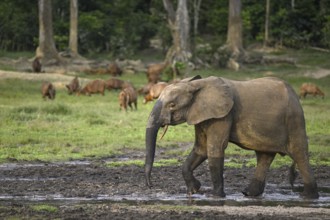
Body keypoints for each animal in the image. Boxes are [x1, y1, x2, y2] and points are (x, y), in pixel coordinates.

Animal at [145, 75, 320, 199]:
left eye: (172, 105)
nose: (150, 185)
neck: (197, 85)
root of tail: (295, 94)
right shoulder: (202, 114)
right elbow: (201, 149)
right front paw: (194, 190)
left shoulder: (223, 115)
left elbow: (214, 149)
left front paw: (215, 196)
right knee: (264, 156)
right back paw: (249, 194)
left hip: (294, 121)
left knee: (299, 154)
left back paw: (308, 196)